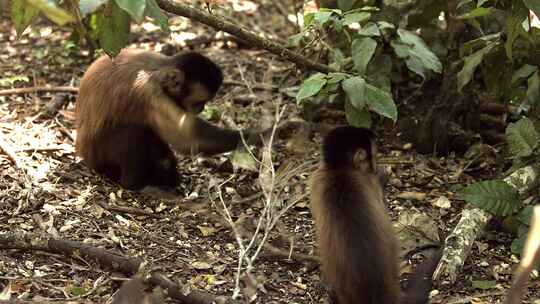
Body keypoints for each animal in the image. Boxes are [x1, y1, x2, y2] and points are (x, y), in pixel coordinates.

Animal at [77, 48, 280, 190]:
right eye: (200, 101)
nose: (202, 108)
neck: (156, 70)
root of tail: (84, 155)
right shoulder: (150, 94)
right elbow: (190, 140)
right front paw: (272, 132)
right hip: (100, 158)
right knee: (133, 132)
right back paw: (136, 185)